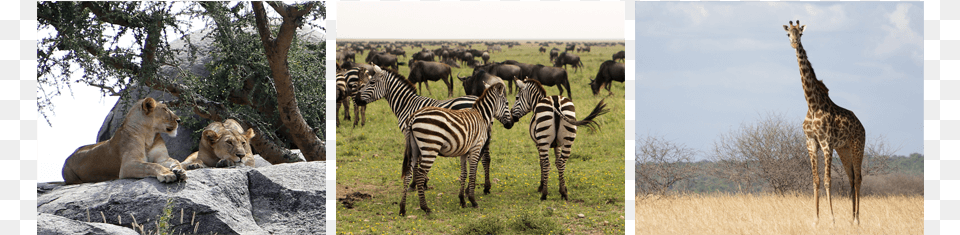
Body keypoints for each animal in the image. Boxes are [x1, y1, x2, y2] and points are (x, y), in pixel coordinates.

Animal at [354, 65, 502, 194]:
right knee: (486, 158)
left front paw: (415, 184)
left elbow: (416, 160)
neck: (406, 104)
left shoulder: (410, 133)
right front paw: (423, 183)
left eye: (372, 82)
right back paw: (486, 187)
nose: (356, 99)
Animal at [400, 83, 512, 217]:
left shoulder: (464, 151)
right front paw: (472, 201)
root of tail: (413, 117)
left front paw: (462, 200)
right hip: (430, 147)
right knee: (420, 175)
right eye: (507, 103)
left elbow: (464, 174)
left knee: (408, 173)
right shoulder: (476, 147)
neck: (482, 116)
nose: (511, 124)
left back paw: (402, 208)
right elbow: (472, 173)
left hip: (415, 149)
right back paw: (425, 207)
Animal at [784, 20, 868, 224]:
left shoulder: (826, 142)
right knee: (851, 178)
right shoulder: (811, 142)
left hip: (857, 145)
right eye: (788, 34)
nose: (794, 43)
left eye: (800, 34)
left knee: (858, 178)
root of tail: (862, 126)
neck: (812, 104)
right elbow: (816, 180)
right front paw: (816, 219)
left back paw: (857, 220)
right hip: (844, 149)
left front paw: (831, 219)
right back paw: (851, 218)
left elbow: (828, 180)